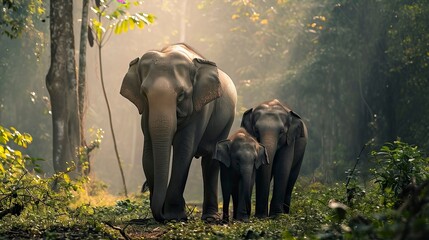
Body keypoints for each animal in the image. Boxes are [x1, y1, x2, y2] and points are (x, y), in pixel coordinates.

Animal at [118, 43, 236, 223]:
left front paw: (175, 216)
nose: (162, 214)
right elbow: (148, 153)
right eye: (144, 94)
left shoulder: (200, 109)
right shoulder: (146, 114)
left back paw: (209, 218)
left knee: (211, 160)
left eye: (181, 95)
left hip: (227, 121)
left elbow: (183, 150)